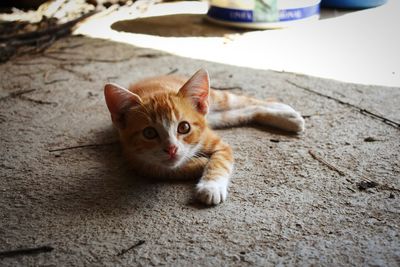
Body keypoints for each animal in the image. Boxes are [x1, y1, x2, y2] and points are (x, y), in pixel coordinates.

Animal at [103, 68, 304, 205]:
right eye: (149, 133)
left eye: (184, 127)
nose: (171, 148)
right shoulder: (135, 160)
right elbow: (165, 168)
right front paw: (200, 164)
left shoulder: (219, 144)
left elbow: (220, 160)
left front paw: (211, 186)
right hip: (219, 117)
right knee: (248, 111)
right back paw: (287, 116)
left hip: (217, 99)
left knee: (249, 101)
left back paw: (285, 112)